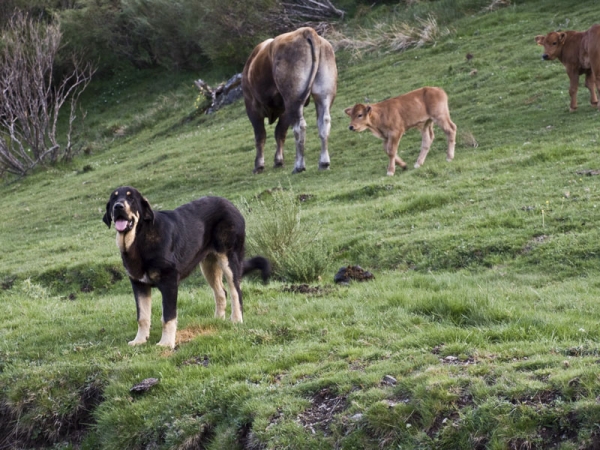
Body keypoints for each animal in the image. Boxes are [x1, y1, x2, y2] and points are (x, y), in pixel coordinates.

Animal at [104, 185, 270, 348]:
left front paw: (166, 343)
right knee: (221, 292)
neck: (139, 239)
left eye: (131, 198)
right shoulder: (139, 284)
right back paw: (217, 320)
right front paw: (139, 340)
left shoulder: (169, 282)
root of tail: (231, 205)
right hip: (208, 265)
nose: (118, 206)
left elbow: (168, 317)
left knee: (236, 292)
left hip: (228, 259)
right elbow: (142, 317)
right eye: (114, 198)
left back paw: (236, 320)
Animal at [243, 26, 338, 174]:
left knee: (300, 126)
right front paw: (278, 161)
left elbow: (261, 135)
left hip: (293, 98)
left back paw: (299, 166)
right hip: (324, 94)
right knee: (324, 123)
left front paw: (259, 165)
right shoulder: (284, 110)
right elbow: (280, 133)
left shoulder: (252, 107)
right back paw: (324, 163)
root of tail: (305, 31)